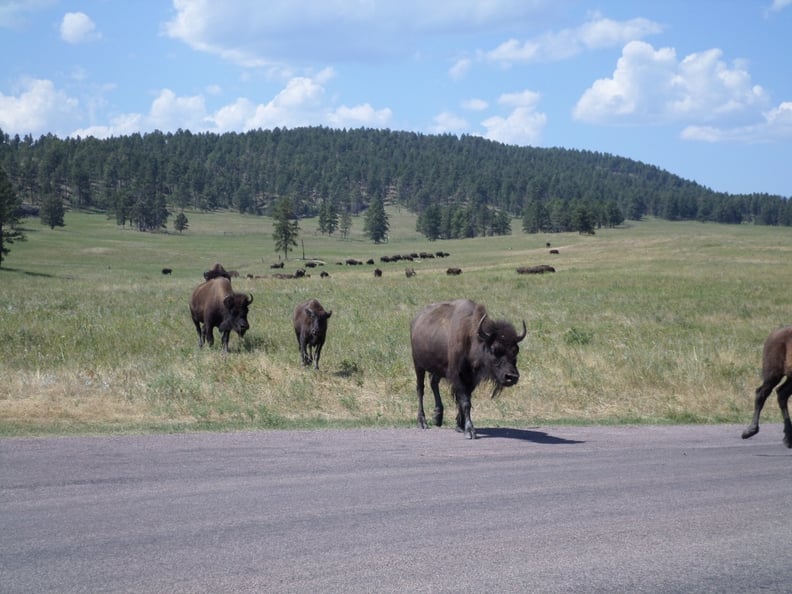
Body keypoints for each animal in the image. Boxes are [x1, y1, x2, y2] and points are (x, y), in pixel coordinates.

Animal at [408, 298, 524, 438]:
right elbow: (465, 402)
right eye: (494, 349)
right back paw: (422, 422)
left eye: (515, 350)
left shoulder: (471, 380)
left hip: (438, 369)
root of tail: (416, 320)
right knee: (420, 389)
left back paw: (437, 417)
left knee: (433, 383)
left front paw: (460, 426)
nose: (511, 377)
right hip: (418, 365)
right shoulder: (457, 376)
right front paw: (469, 430)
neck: (472, 338)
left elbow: (464, 400)